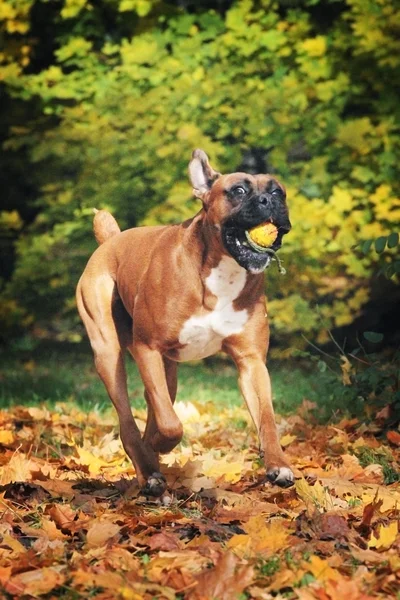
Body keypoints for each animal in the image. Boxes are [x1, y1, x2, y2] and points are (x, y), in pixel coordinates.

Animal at [76, 150, 294, 496]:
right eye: (239, 190)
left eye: (278, 192)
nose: (267, 200)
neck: (223, 271)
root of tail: (111, 241)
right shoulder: (147, 348)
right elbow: (171, 424)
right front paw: (158, 446)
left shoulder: (252, 363)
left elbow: (267, 419)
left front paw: (278, 465)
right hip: (109, 355)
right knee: (129, 421)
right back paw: (148, 470)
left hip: (167, 372)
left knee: (155, 406)